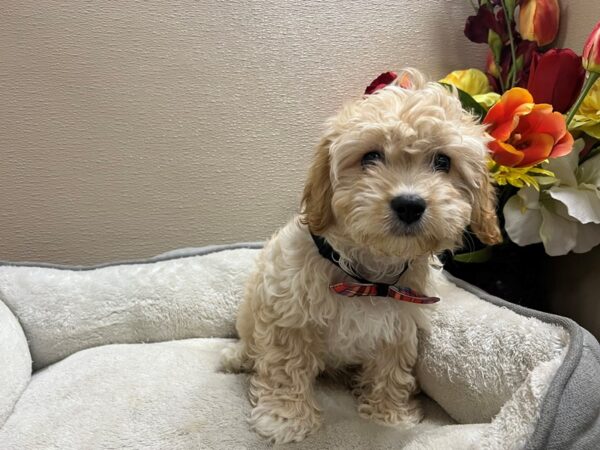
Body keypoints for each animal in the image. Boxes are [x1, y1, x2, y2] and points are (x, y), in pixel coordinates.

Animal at [220, 68, 502, 444]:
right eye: (371, 157)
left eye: (443, 161)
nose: (409, 204)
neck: (368, 276)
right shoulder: (287, 317)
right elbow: (286, 367)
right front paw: (286, 419)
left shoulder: (398, 327)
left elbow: (391, 370)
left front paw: (390, 416)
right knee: (251, 345)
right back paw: (236, 357)